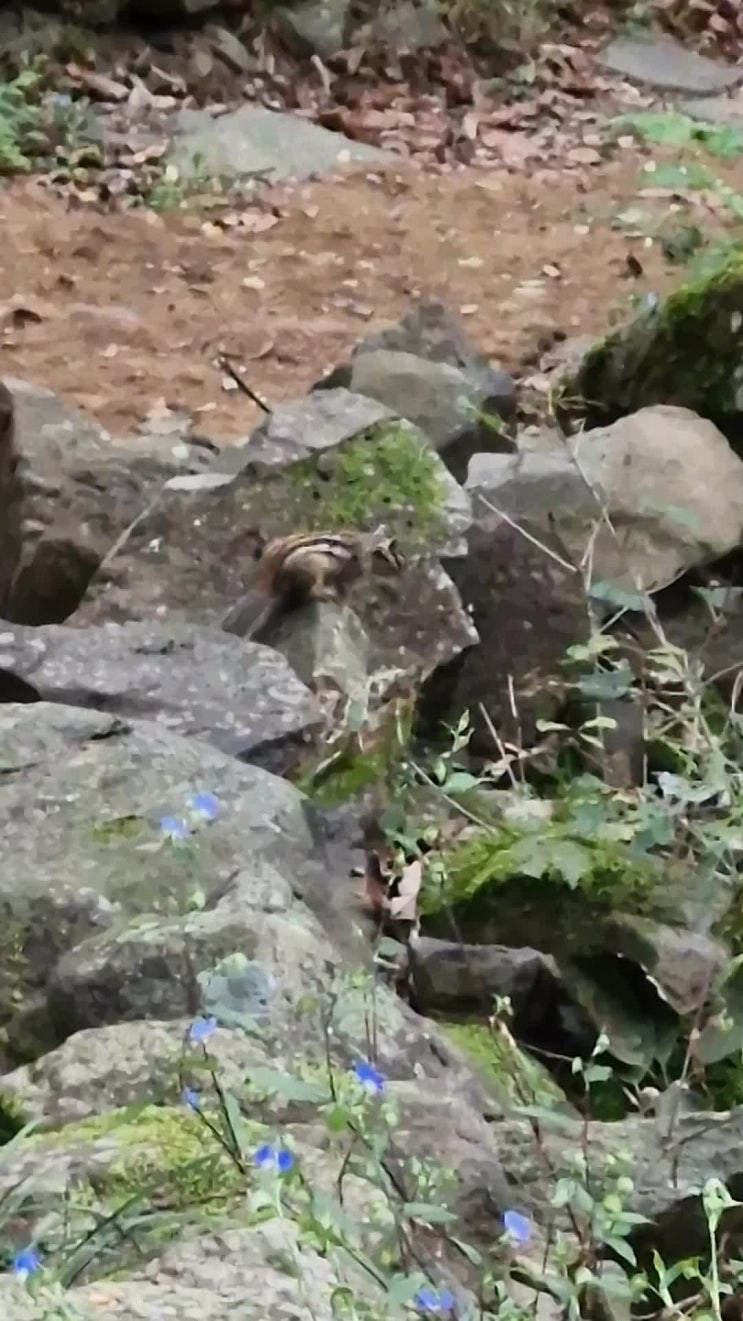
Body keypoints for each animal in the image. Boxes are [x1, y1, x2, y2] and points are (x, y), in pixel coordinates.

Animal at [221, 526, 405, 641]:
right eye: (394, 553)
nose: (404, 567)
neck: (368, 544)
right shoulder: (355, 569)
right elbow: (349, 591)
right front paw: (346, 603)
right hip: (318, 566)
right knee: (313, 590)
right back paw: (325, 594)